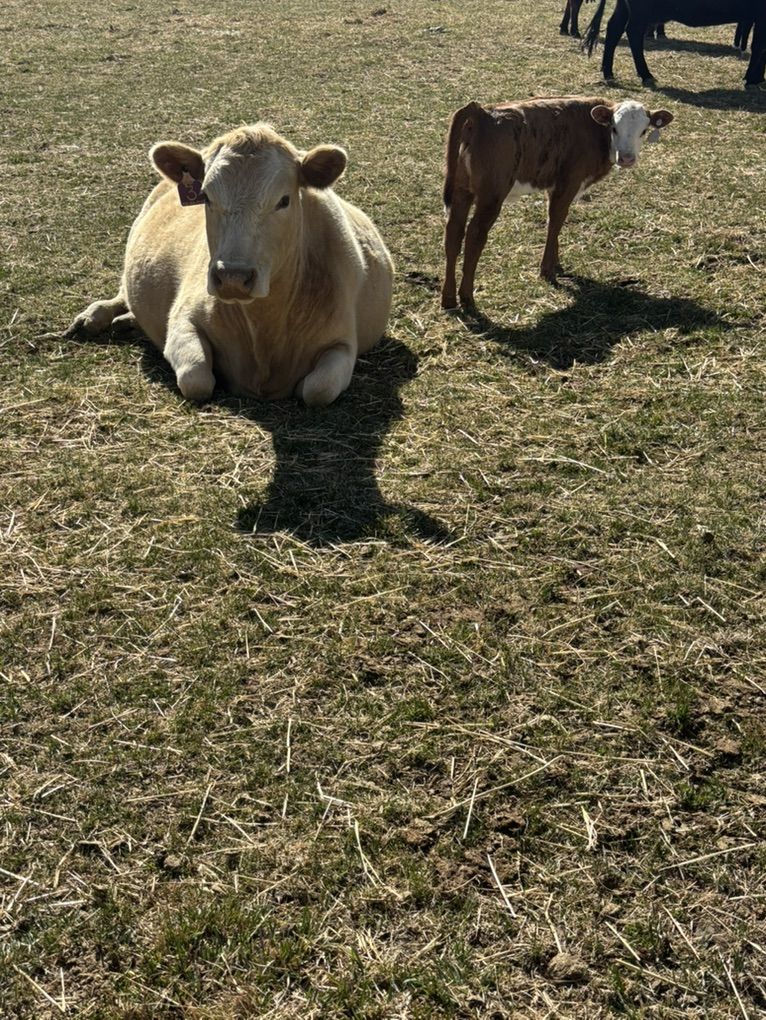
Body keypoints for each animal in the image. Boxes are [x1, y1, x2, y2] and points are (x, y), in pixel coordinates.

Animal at [66, 123, 394, 406]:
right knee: (123, 292)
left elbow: (317, 389)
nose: (233, 277)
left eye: (284, 200)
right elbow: (196, 378)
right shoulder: (183, 320)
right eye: (205, 197)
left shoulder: (342, 342)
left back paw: (127, 322)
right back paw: (95, 317)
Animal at [441, 96, 673, 310]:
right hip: (491, 196)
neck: (592, 129)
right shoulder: (568, 183)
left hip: (462, 191)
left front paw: (556, 264)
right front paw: (547, 271)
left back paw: (448, 298)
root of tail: (481, 112)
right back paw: (467, 297)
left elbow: (555, 222)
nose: (626, 158)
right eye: (614, 128)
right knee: (474, 236)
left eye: (643, 131)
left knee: (454, 232)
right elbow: (556, 221)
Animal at [583, 0, 766, 87]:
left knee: (614, 29)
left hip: (625, 7)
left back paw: (608, 72)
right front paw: (751, 78)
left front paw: (758, 78)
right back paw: (646, 74)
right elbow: (758, 47)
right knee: (633, 33)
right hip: (641, 11)